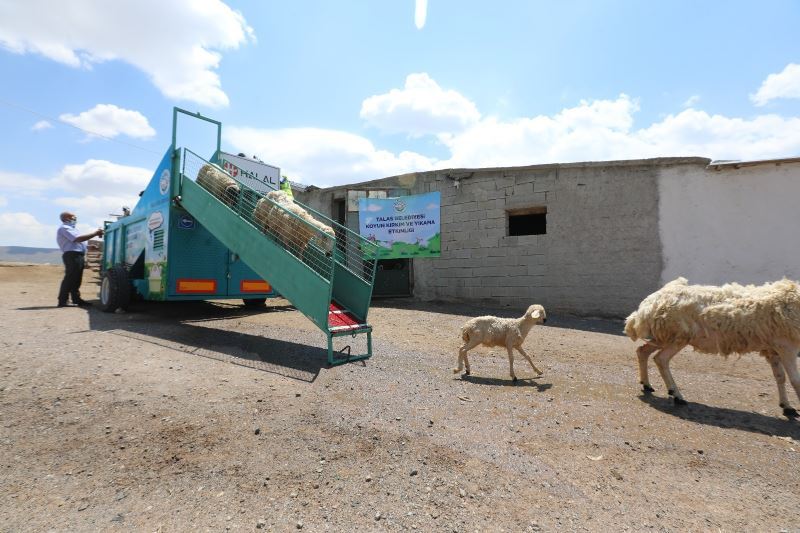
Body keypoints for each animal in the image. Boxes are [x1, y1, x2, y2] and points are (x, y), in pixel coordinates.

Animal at [624, 276, 800, 418]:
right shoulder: (786, 346)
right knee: (661, 359)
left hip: (662, 336)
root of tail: (646, 307)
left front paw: (786, 406)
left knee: (642, 352)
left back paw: (647, 385)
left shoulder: (772, 349)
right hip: (677, 336)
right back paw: (677, 395)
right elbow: (795, 380)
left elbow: (780, 377)